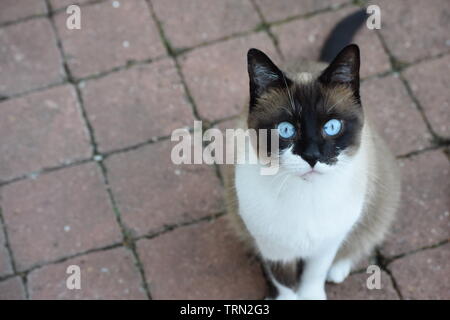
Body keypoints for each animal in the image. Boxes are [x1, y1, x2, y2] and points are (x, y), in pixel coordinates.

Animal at [221, 10, 400, 300]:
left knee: (363, 238)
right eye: (286, 129)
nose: (312, 156)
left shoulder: (327, 244)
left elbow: (314, 275)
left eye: (332, 127)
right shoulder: (273, 248)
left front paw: (313, 291)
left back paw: (338, 270)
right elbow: (284, 282)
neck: (305, 195)